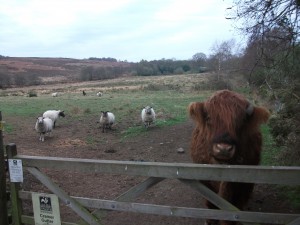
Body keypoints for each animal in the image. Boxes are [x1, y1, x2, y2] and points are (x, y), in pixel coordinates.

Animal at [189, 90, 270, 225]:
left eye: (242, 121)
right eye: (209, 118)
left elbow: (235, 208)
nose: (223, 148)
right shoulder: (205, 183)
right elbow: (211, 205)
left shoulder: (245, 185)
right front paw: (210, 221)